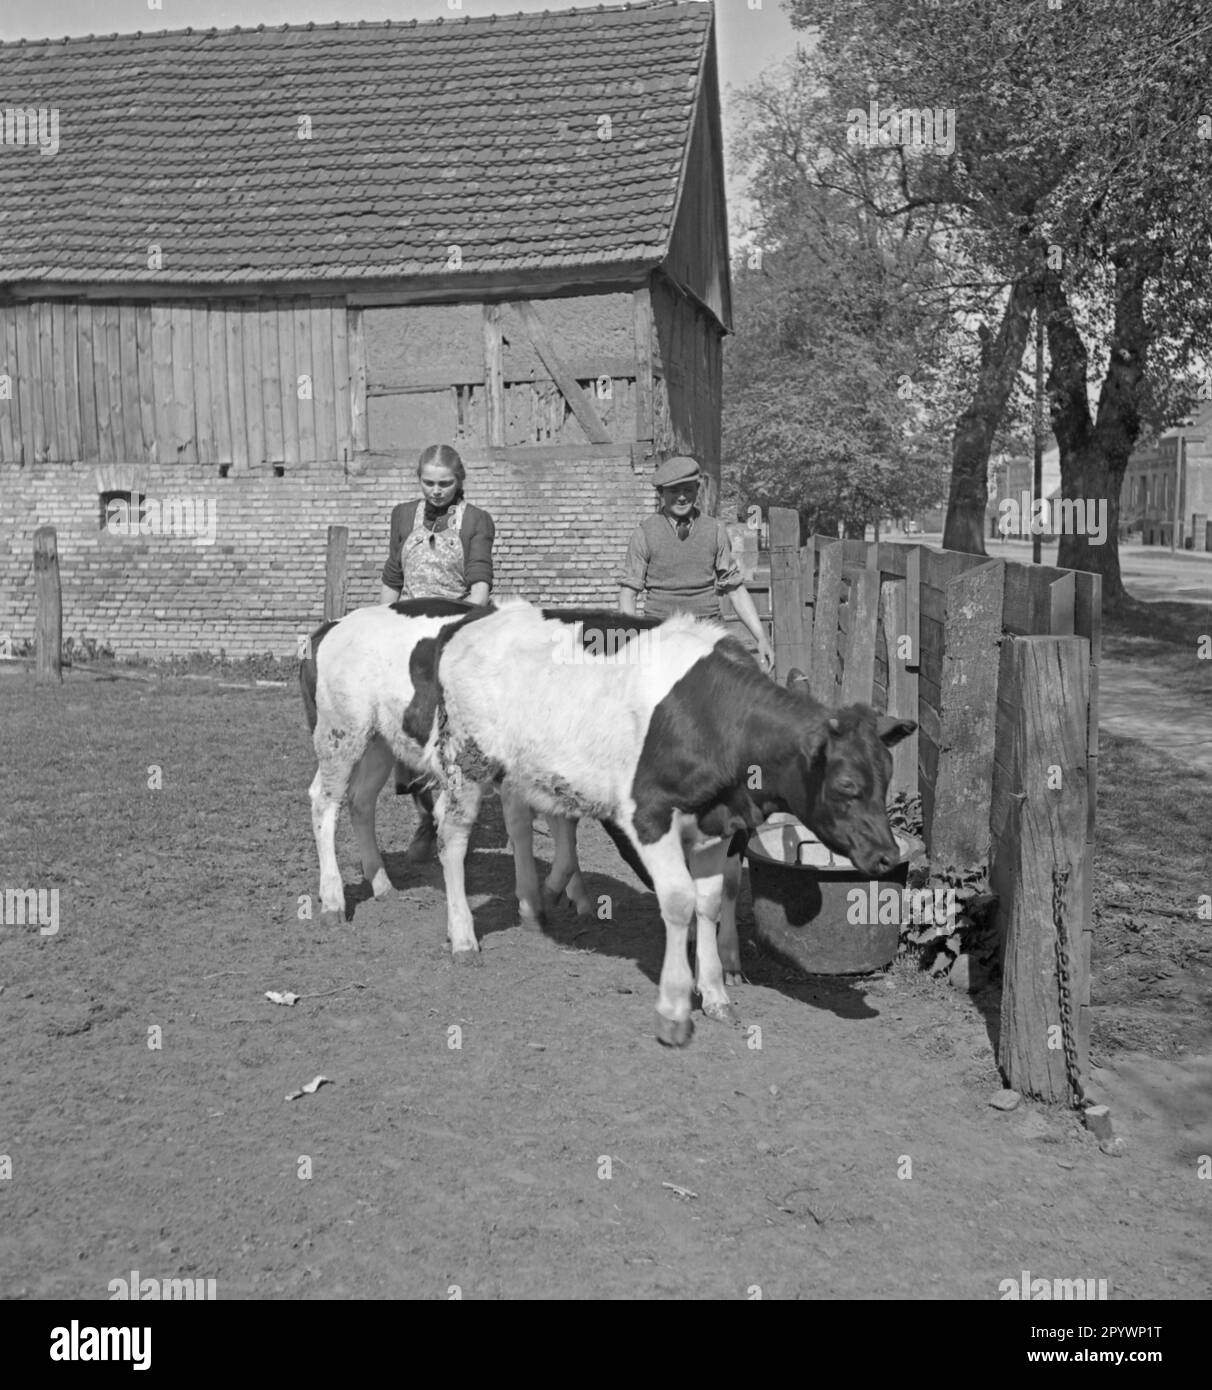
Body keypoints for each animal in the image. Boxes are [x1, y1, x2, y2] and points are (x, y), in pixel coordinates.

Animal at [403, 599, 916, 1046]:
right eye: (846, 785)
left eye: (888, 775)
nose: (888, 855)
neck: (714, 719)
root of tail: (473, 620)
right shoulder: (649, 814)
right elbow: (678, 901)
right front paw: (674, 1008)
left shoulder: (717, 823)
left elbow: (709, 902)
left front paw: (716, 994)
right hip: (466, 759)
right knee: (453, 840)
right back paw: (463, 937)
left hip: (520, 768)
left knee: (519, 823)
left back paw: (532, 907)